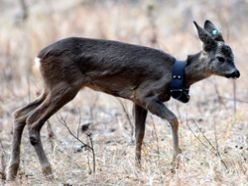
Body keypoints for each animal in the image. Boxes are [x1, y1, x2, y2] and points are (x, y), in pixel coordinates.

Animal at [6, 19, 240, 179]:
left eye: (233, 56)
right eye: (221, 58)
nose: (236, 72)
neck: (176, 74)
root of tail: (39, 57)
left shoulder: (137, 100)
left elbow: (139, 134)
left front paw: (138, 167)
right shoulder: (146, 94)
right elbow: (173, 120)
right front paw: (174, 165)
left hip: (51, 88)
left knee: (19, 114)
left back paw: (12, 171)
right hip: (65, 87)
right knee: (33, 120)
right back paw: (48, 172)